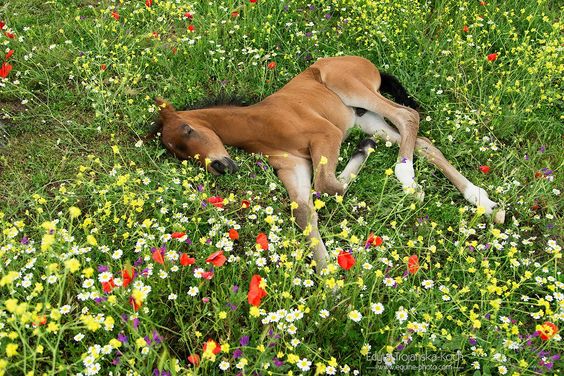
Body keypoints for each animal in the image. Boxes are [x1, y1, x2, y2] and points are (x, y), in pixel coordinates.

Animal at [153, 55, 502, 272]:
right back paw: (484, 202)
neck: (259, 125)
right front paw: (330, 281)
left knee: (408, 116)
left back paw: (408, 178)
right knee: (421, 142)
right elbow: (306, 210)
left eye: (188, 129)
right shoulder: (293, 167)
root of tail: (365, 62)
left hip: (353, 90)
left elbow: (328, 186)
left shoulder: (326, 135)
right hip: (365, 119)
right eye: (178, 153)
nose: (221, 166)